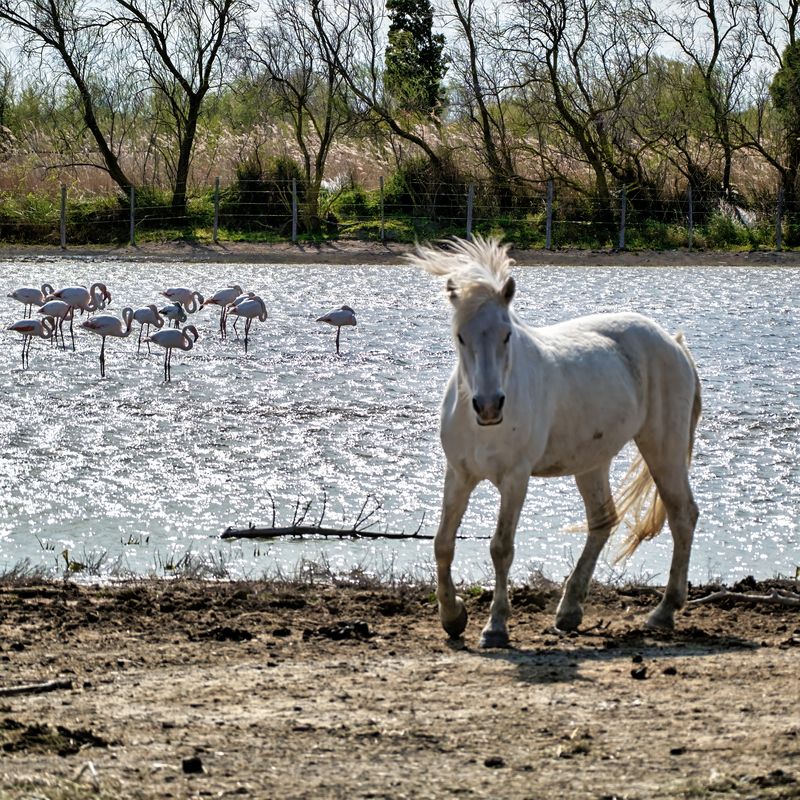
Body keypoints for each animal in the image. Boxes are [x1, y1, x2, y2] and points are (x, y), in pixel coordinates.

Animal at [408, 237, 701, 648]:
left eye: (507, 334)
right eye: (460, 336)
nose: (489, 406)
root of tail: (671, 343)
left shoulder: (515, 479)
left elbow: (501, 547)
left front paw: (495, 627)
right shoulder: (459, 474)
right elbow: (442, 543)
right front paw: (452, 617)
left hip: (664, 449)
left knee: (681, 515)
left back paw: (663, 611)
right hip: (593, 463)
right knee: (602, 521)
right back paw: (569, 611)